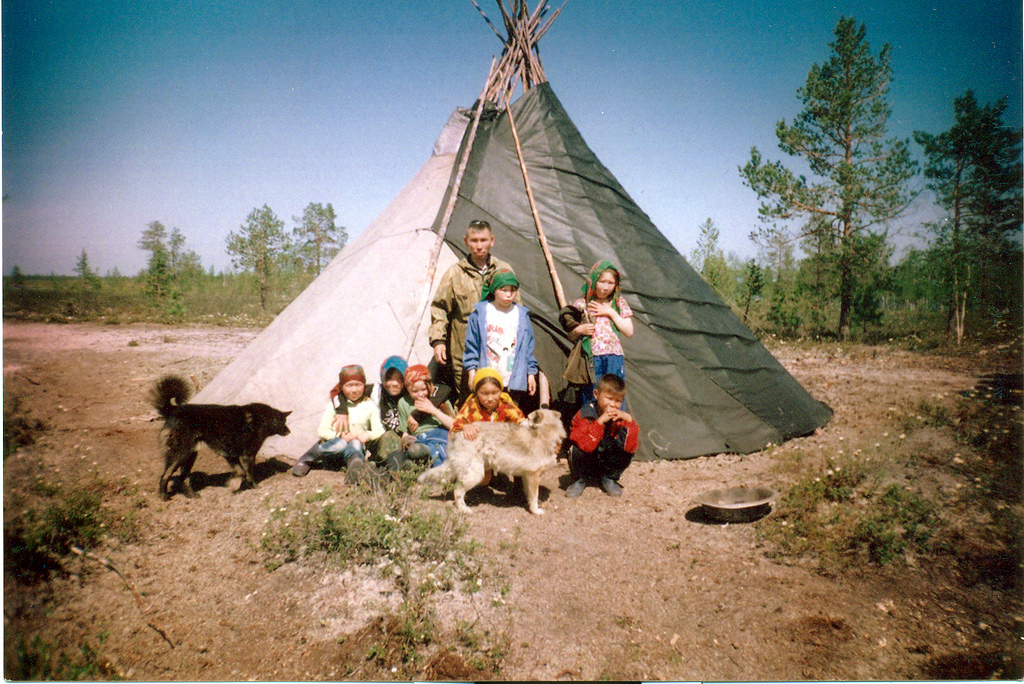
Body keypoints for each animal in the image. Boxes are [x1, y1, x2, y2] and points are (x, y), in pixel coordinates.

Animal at [149, 376, 290, 499]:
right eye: (283, 422)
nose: (289, 431)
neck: (261, 420)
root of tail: (172, 410)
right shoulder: (242, 455)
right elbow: (246, 473)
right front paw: (244, 486)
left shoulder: (234, 455)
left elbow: (242, 472)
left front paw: (236, 486)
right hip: (182, 454)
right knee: (165, 475)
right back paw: (163, 496)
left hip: (190, 455)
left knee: (182, 478)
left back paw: (190, 495)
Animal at [421, 409, 573, 516]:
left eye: (528, 418)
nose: (521, 420)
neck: (544, 433)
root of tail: (457, 434)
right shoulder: (533, 476)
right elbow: (534, 496)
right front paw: (535, 511)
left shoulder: (527, 476)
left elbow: (529, 494)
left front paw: (528, 504)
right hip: (476, 475)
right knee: (457, 491)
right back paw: (464, 510)